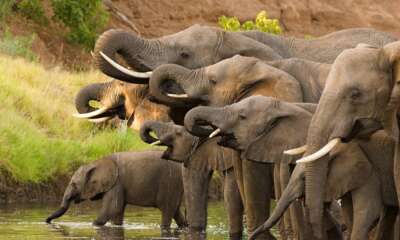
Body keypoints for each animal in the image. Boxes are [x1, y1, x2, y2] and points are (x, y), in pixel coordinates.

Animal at [45, 150, 188, 231]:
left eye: (74, 184)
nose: (47, 221)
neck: (96, 162)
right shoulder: (118, 185)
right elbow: (117, 212)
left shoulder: (116, 183)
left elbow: (112, 208)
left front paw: (93, 225)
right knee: (176, 211)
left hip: (169, 182)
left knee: (167, 210)